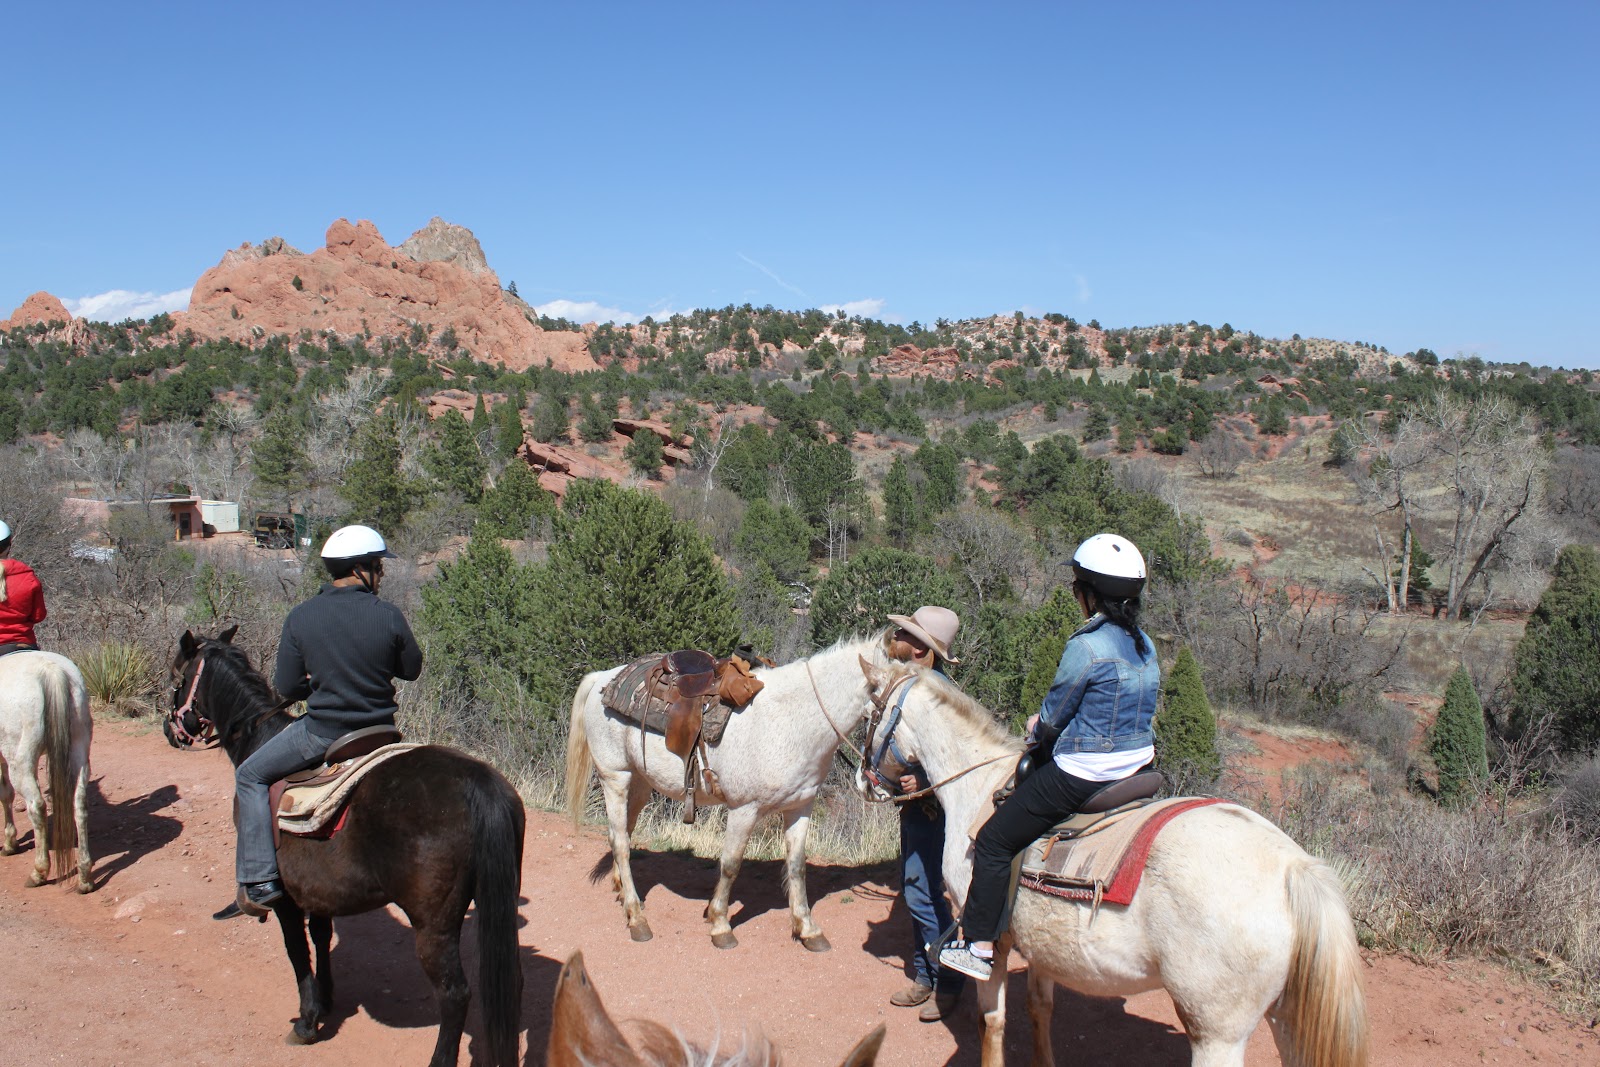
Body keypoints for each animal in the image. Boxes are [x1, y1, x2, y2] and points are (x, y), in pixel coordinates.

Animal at [0, 652, 92, 895]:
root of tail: (50, 671)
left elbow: (5, 795)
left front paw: (9, 843)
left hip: (21, 761)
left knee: (37, 807)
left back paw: (39, 872)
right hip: (79, 750)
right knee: (79, 804)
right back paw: (85, 876)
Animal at [172, 627, 528, 1067]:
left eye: (177, 676)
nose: (171, 730)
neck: (257, 739)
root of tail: (480, 783)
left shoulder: (286, 899)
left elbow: (297, 951)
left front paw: (307, 1021)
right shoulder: (318, 891)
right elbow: (322, 936)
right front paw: (326, 999)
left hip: (434, 925)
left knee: (455, 995)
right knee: (511, 983)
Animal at [563, 633, 889, 953]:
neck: (792, 721)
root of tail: (602, 678)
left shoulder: (800, 806)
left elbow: (797, 867)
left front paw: (808, 929)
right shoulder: (744, 809)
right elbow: (731, 864)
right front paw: (720, 923)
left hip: (641, 782)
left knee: (625, 834)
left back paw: (623, 891)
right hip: (615, 777)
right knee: (619, 841)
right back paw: (636, 919)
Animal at [857, 659, 1369, 1067]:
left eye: (870, 716)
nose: (864, 781)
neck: (982, 784)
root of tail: (1294, 868)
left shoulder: (990, 939)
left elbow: (992, 1023)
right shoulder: (1042, 946)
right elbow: (1040, 1011)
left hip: (1217, 1034)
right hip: (1286, 1020)